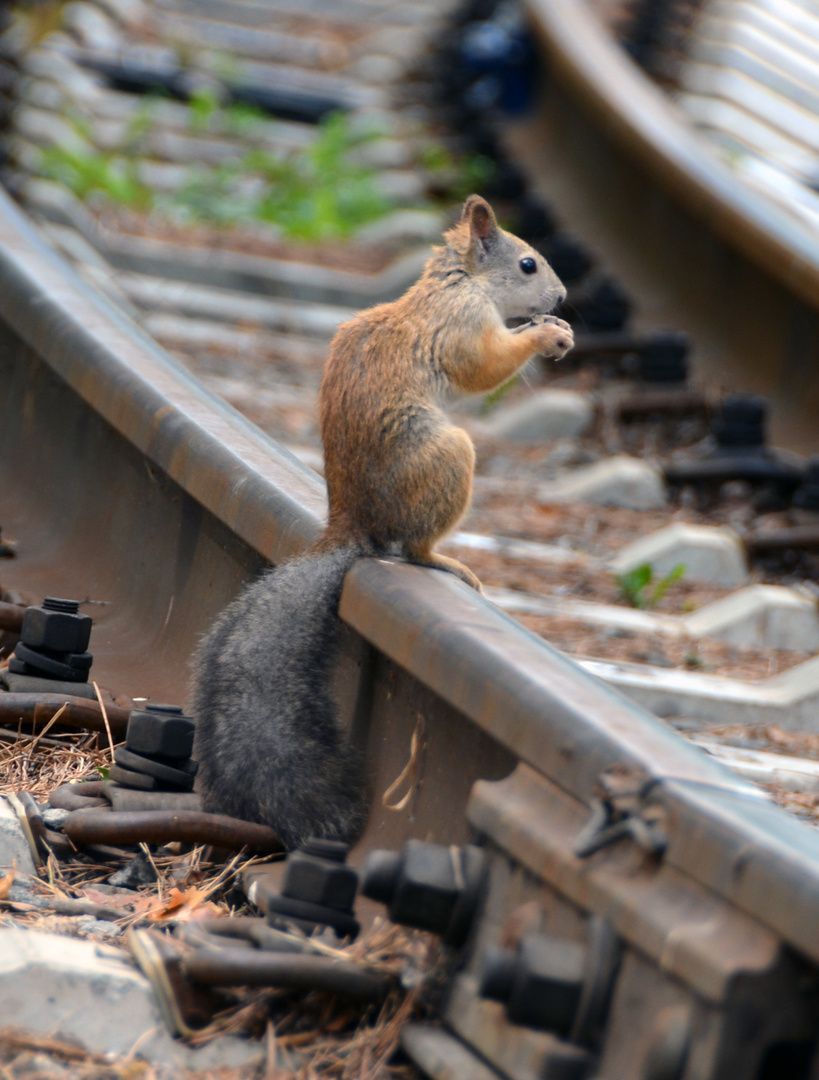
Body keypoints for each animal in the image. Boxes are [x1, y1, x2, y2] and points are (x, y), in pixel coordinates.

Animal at [191, 196, 579, 851]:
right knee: (414, 546)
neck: (460, 279)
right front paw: (546, 334)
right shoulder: (462, 322)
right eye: (528, 264)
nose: (562, 297)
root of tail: (352, 526)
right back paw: (445, 561)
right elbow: (485, 366)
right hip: (444, 459)